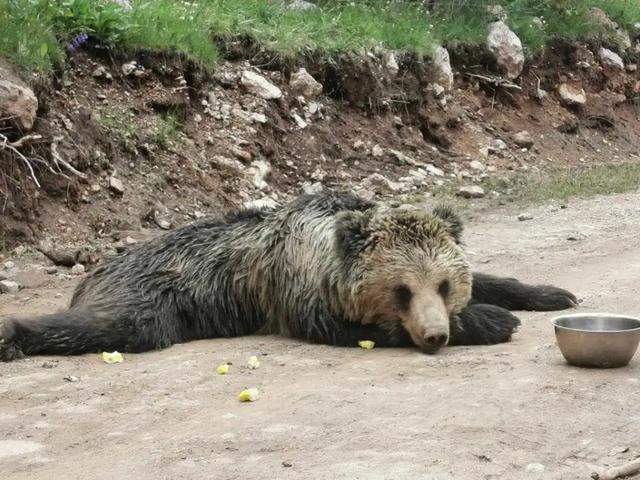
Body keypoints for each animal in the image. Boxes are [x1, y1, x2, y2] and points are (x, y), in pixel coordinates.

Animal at [0, 191, 576, 360]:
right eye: (401, 290)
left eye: (444, 284)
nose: (434, 335)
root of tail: (94, 269)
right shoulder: (299, 295)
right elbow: (357, 328)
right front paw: (494, 320)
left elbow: (494, 274)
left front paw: (551, 293)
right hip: (156, 292)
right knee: (121, 324)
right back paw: (14, 333)